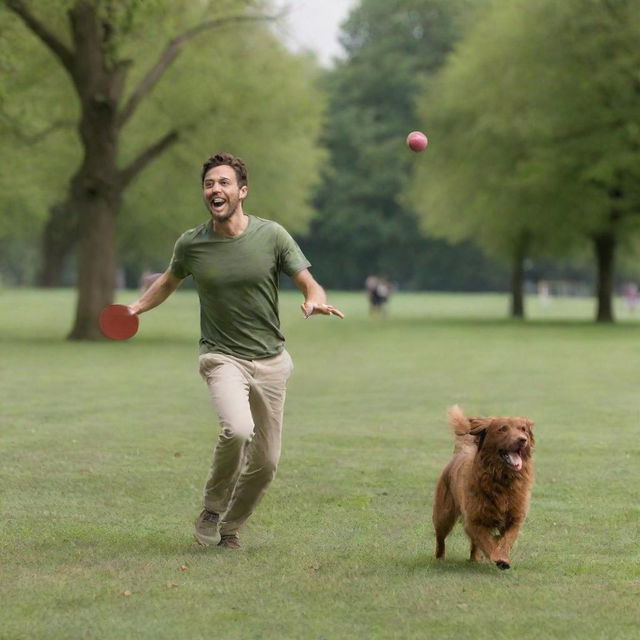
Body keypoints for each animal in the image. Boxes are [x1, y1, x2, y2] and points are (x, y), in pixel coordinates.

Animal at [432, 404, 532, 568]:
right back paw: (440, 558)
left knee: (474, 545)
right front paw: (496, 557)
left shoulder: (515, 517)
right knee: (440, 538)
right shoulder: (474, 518)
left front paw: (502, 557)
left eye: (523, 429)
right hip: (443, 514)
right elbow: (487, 541)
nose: (522, 440)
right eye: (503, 429)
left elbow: (507, 539)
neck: (501, 478)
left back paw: (474, 559)